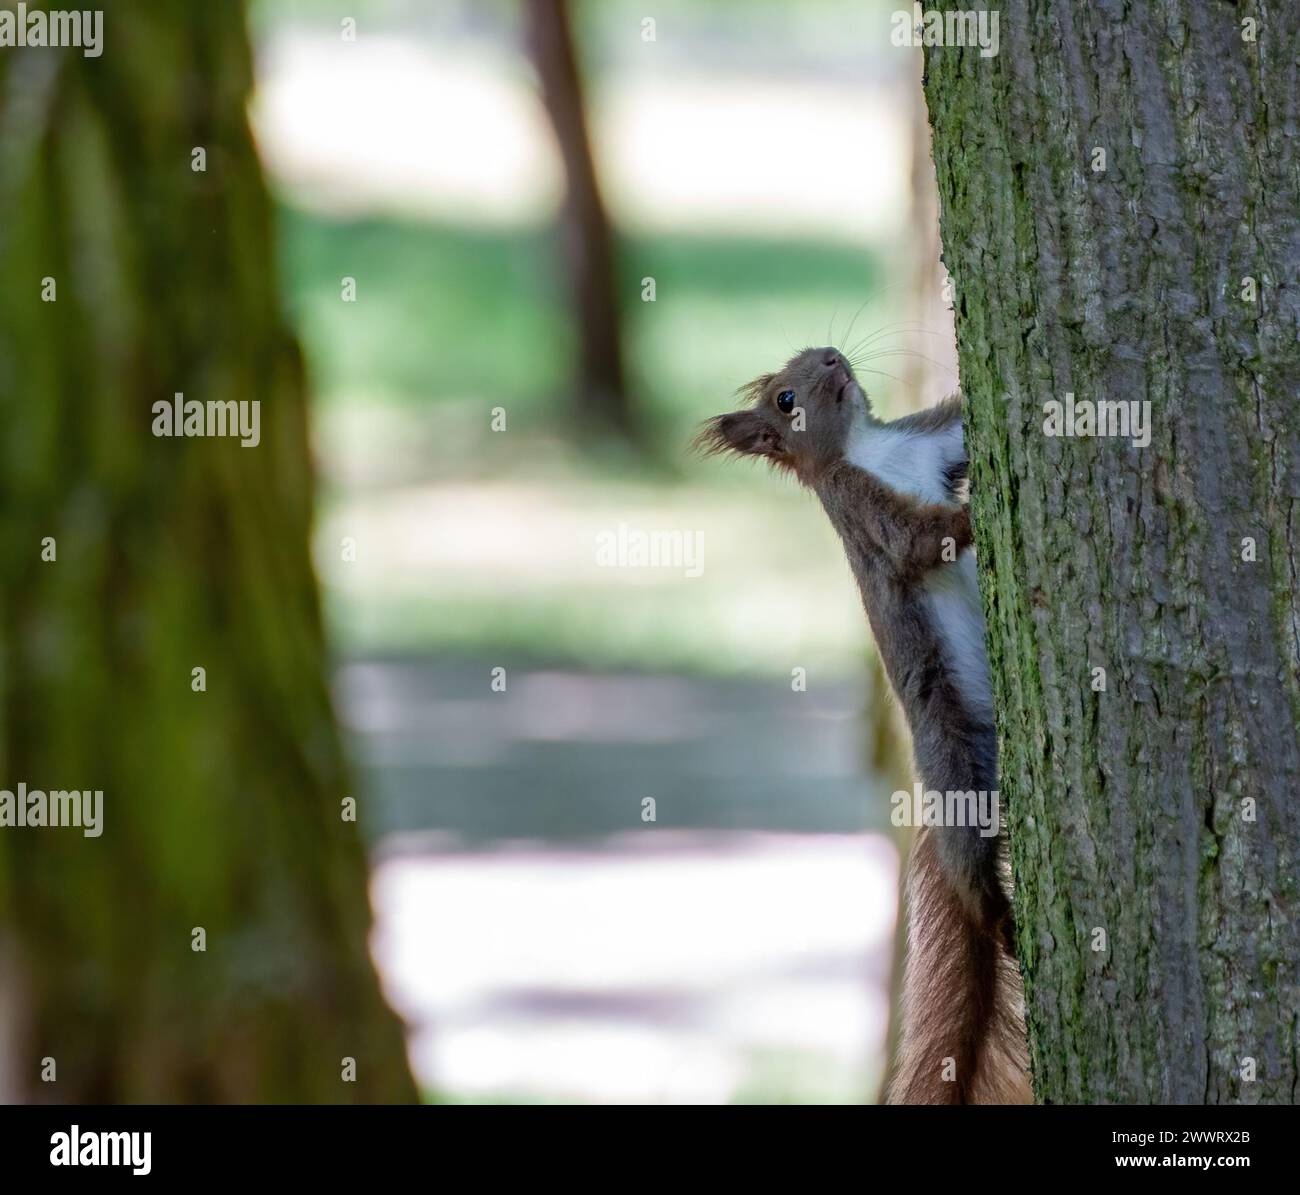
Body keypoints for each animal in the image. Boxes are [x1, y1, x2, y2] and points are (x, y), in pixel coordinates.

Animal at [696, 343, 1029, 1102]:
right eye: (786, 400)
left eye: (808, 354)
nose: (831, 356)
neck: (867, 446)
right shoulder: (862, 511)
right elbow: (918, 540)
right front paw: (973, 519)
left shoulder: (930, 444)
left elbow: (957, 423)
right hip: (954, 765)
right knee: (970, 864)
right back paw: (995, 913)